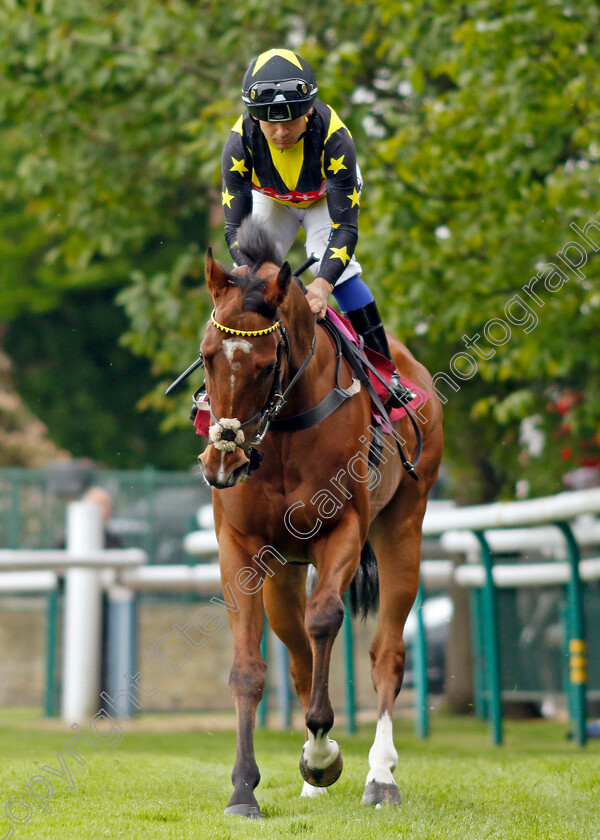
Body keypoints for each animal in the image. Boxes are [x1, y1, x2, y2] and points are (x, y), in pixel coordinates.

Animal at [199, 215, 442, 812]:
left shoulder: (344, 530)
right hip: (284, 569)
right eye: (209, 354)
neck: (284, 428)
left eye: (266, 366)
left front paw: (323, 753)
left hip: (404, 527)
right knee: (297, 653)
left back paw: (379, 774)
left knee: (386, 653)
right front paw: (245, 789)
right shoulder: (241, 546)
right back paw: (312, 779)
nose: (223, 461)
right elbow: (249, 668)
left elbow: (326, 619)